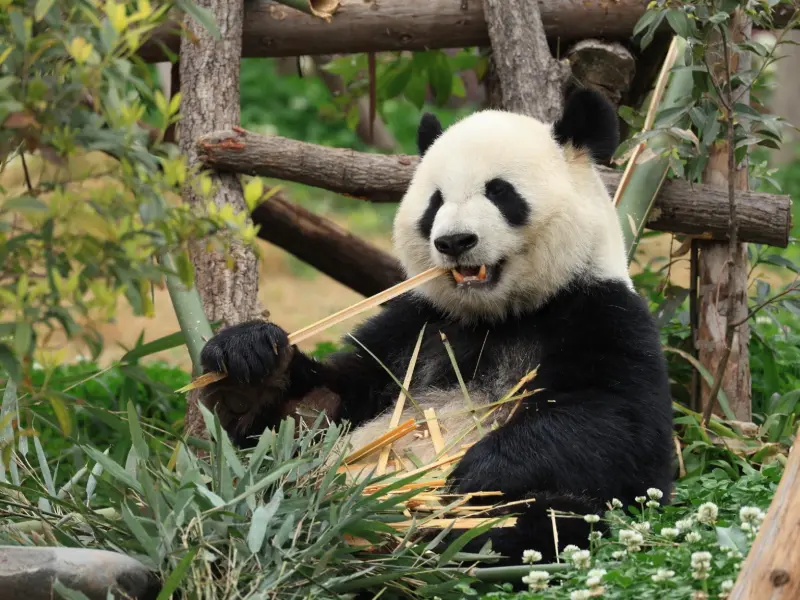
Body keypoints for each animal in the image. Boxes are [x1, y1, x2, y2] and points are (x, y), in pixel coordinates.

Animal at [195, 88, 676, 568]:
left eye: (500, 192)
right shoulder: (414, 326)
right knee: (262, 487)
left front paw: (477, 470)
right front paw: (249, 368)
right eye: (435, 202)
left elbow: (617, 426)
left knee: (549, 518)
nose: (454, 241)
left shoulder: (603, 314)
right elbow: (313, 412)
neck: (498, 316)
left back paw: (439, 538)